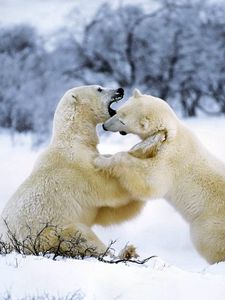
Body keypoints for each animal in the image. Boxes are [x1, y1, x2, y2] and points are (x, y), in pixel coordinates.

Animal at [0, 85, 144, 255]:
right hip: (50, 233)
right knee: (81, 237)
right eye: (99, 89)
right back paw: (125, 252)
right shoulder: (79, 168)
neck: (73, 139)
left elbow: (107, 212)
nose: (120, 89)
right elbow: (108, 189)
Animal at [96, 89, 225, 262]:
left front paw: (101, 161)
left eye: (122, 121)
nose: (104, 126)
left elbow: (150, 181)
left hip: (210, 224)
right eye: (117, 112)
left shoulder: (170, 160)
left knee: (208, 243)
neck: (171, 133)